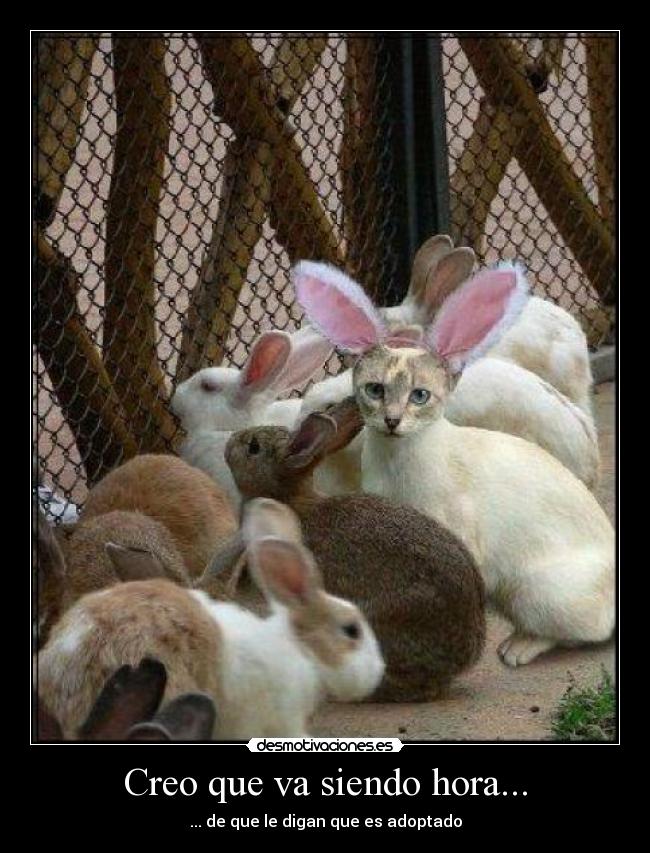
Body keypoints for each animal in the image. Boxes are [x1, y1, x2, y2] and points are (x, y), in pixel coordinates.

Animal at [293, 260, 615, 668]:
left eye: (419, 395)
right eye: (374, 390)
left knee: (581, 632)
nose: (392, 421)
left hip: (540, 594)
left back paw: (516, 650)